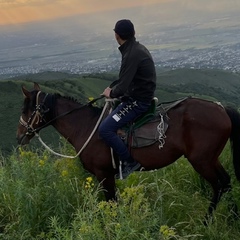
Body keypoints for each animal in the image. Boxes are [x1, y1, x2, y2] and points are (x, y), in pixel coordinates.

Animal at [16, 83, 240, 221]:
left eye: (25, 110)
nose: (19, 137)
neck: (86, 127)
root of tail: (222, 108)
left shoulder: (104, 174)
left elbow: (111, 202)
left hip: (202, 161)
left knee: (219, 185)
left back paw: (207, 221)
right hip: (211, 159)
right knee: (226, 182)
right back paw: (232, 215)